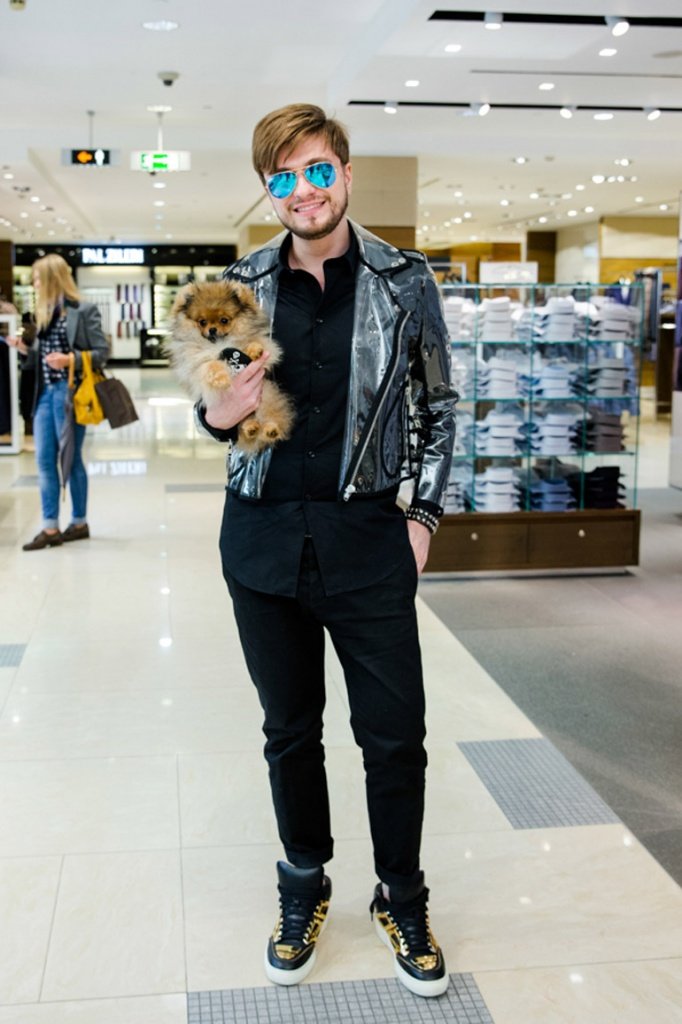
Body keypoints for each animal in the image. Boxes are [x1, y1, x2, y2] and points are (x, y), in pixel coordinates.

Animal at [169, 280, 294, 454]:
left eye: (224, 320)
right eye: (202, 322)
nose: (212, 329)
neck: (219, 344)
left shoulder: (266, 347)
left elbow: (255, 343)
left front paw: (254, 350)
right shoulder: (195, 362)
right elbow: (210, 364)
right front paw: (221, 378)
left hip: (267, 398)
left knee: (272, 420)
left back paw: (270, 429)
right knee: (243, 427)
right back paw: (250, 428)